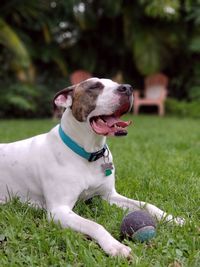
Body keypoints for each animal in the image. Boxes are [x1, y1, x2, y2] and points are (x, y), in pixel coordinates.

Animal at [0, 78, 184, 258]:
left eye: (115, 82)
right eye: (94, 86)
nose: (127, 88)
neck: (88, 153)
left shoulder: (108, 195)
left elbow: (147, 205)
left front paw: (173, 219)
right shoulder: (58, 211)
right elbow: (94, 225)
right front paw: (115, 246)